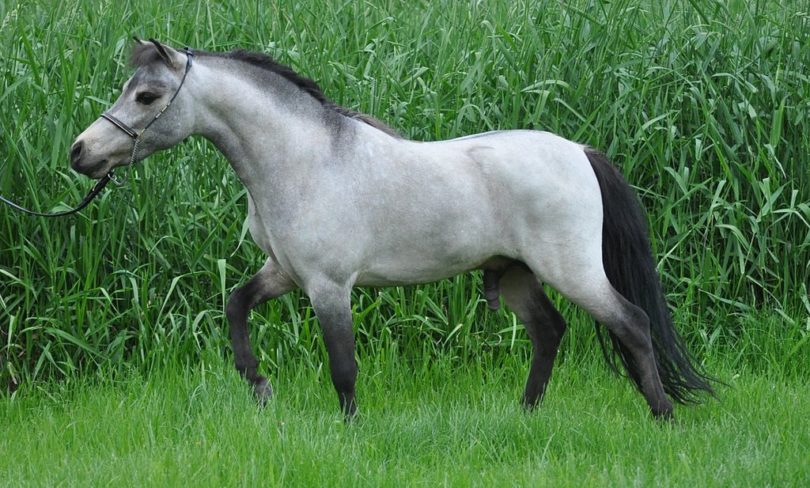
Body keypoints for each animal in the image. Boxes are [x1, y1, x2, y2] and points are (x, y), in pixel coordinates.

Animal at [72, 39, 712, 420]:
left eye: (147, 95)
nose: (82, 153)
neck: (302, 159)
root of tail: (579, 151)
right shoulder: (284, 273)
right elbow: (236, 305)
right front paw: (259, 385)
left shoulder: (329, 286)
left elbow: (342, 364)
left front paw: (349, 428)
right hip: (516, 275)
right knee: (550, 331)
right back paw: (526, 414)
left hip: (571, 269)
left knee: (632, 324)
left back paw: (663, 417)